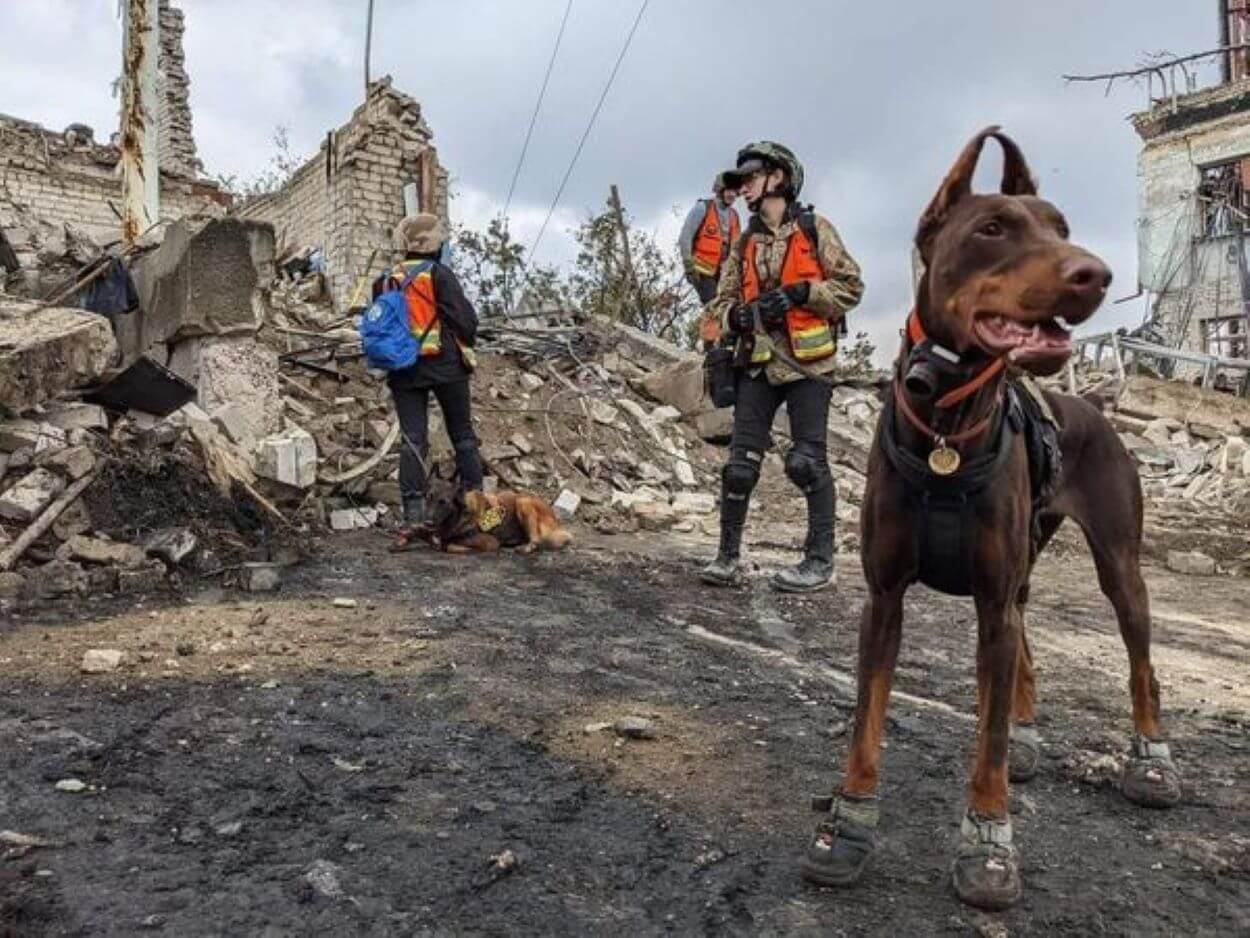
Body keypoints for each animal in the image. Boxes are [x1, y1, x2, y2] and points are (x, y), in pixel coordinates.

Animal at [800, 125, 1180, 910]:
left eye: (1062, 227)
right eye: (993, 229)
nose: (1095, 274)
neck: (946, 427)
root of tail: (1091, 406)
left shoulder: (990, 601)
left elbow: (990, 743)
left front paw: (988, 841)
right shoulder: (885, 597)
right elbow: (866, 722)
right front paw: (849, 825)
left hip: (1117, 567)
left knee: (1140, 666)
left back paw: (1151, 760)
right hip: (1023, 569)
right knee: (1026, 647)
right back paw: (1032, 732)